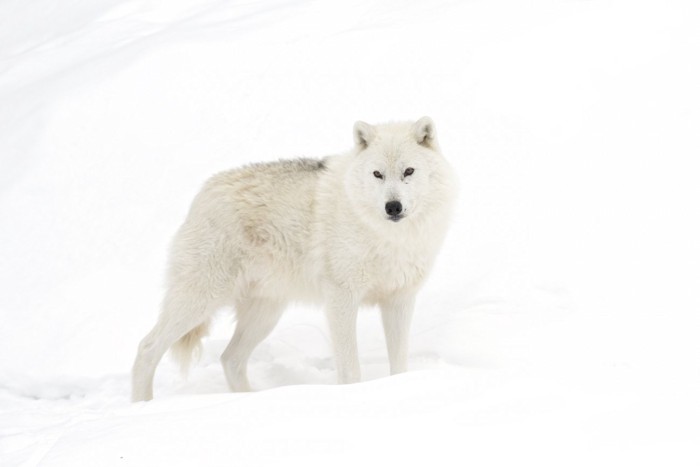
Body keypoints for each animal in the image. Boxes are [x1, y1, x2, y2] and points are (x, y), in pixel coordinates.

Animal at [131, 117, 460, 402]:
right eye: (377, 174)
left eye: (409, 171)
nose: (393, 206)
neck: (389, 238)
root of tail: (202, 193)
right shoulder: (341, 298)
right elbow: (350, 369)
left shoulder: (400, 300)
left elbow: (400, 364)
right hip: (200, 300)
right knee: (147, 348)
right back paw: (142, 405)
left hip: (265, 314)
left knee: (230, 358)